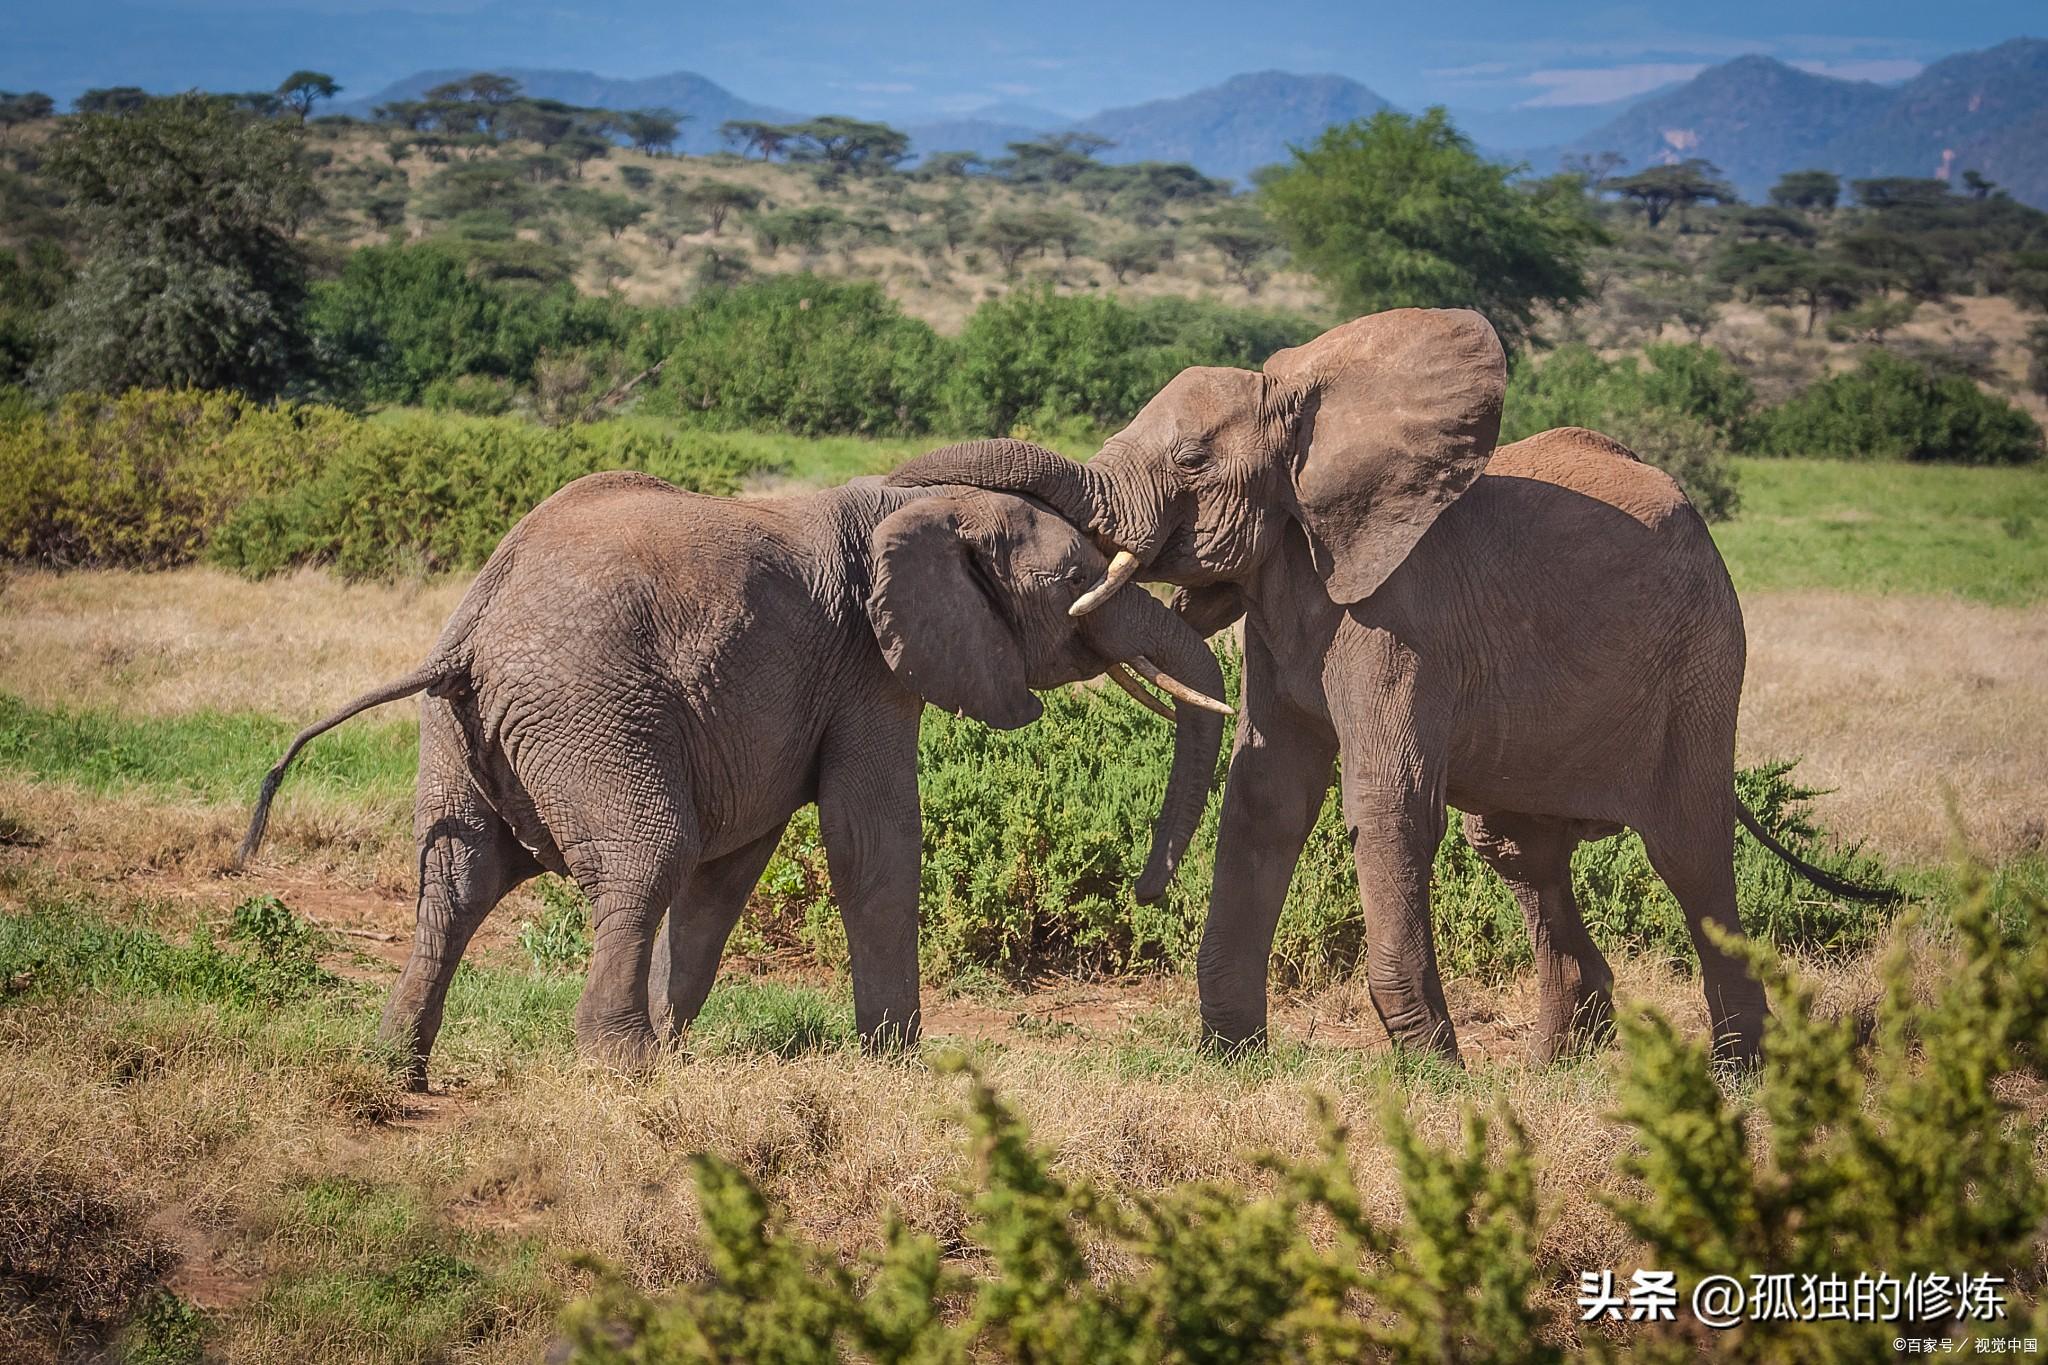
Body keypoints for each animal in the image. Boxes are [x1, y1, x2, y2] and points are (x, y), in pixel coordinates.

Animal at [239, 448, 1228, 1088]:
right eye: (1076, 583)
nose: (1149, 889)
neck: (921, 508)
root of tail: (474, 630)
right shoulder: (869, 664)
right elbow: (871, 842)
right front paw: (902, 1067)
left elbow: (733, 869)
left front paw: (685, 1039)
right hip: (590, 712)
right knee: (646, 855)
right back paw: (624, 1068)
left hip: (458, 731)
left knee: (456, 881)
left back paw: (399, 1067)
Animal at [888, 309, 1892, 1064]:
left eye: (1193, 463)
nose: (1141, 892)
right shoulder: (1289, 599)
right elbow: (1265, 797)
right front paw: (1231, 1056)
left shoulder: (1399, 622)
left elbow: (1388, 803)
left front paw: (1434, 1074)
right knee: (1518, 850)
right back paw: (1554, 1069)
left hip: (1704, 658)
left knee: (1689, 851)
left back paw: (1734, 1075)